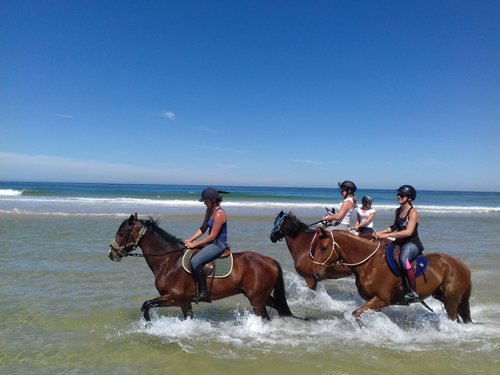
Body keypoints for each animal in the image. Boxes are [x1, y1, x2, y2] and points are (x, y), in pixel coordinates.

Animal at [108, 214, 296, 324]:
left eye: (122, 232)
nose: (111, 253)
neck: (169, 260)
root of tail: (270, 260)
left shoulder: (173, 298)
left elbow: (145, 305)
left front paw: (149, 324)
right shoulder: (184, 302)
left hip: (256, 299)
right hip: (260, 296)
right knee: (278, 307)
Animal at [310, 226, 470, 324]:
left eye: (323, 247)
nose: (315, 272)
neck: (370, 262)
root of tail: (462, 266)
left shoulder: (381, 299)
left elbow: (356, 313)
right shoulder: (374, 301)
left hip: (451, 300)